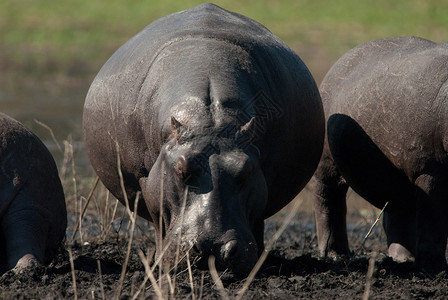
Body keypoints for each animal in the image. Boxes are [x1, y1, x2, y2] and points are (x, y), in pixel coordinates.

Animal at [82, 3, 324, 278]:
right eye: (180, 169)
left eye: (244, 171)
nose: (211, 247)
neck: (210, 122)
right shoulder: (147, 178)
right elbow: (158, 219)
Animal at [314, 36, 448, 274]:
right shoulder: (430, 171)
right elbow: (433, 220)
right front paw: (433, 268)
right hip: (327, 165)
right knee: (328, 202)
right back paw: (334, 255)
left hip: (395, 176)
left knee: (398, 212)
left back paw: (402, 259)